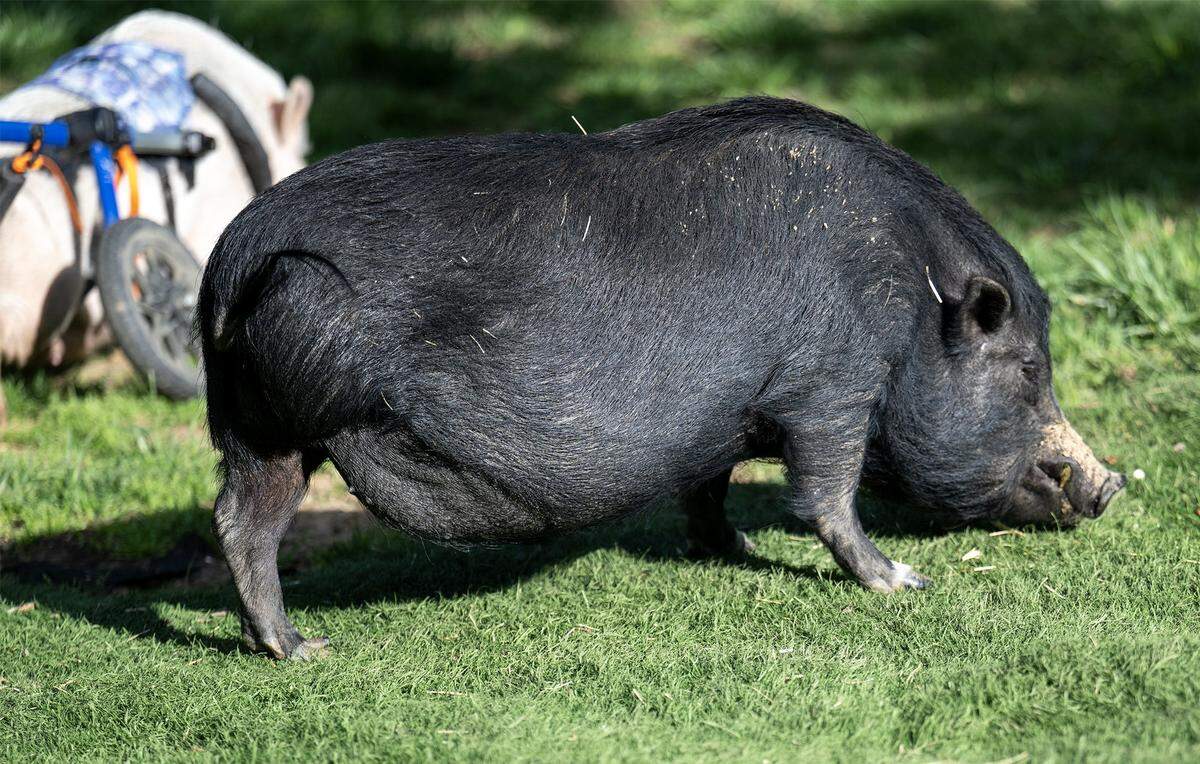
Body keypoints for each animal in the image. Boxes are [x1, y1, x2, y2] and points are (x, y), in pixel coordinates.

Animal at [197, 97, 1126, 659]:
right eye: (1030, 369)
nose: (1111, 485)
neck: (910, 300)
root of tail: (231, 259)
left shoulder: (734, 414)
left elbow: (709, 485)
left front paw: (732, 549)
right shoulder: (832, 387)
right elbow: (826, 497)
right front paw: (901, 583)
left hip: (260, 428)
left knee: (241, 517)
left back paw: (292, 648)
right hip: (294, 408)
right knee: (249, 521)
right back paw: (311, 652)